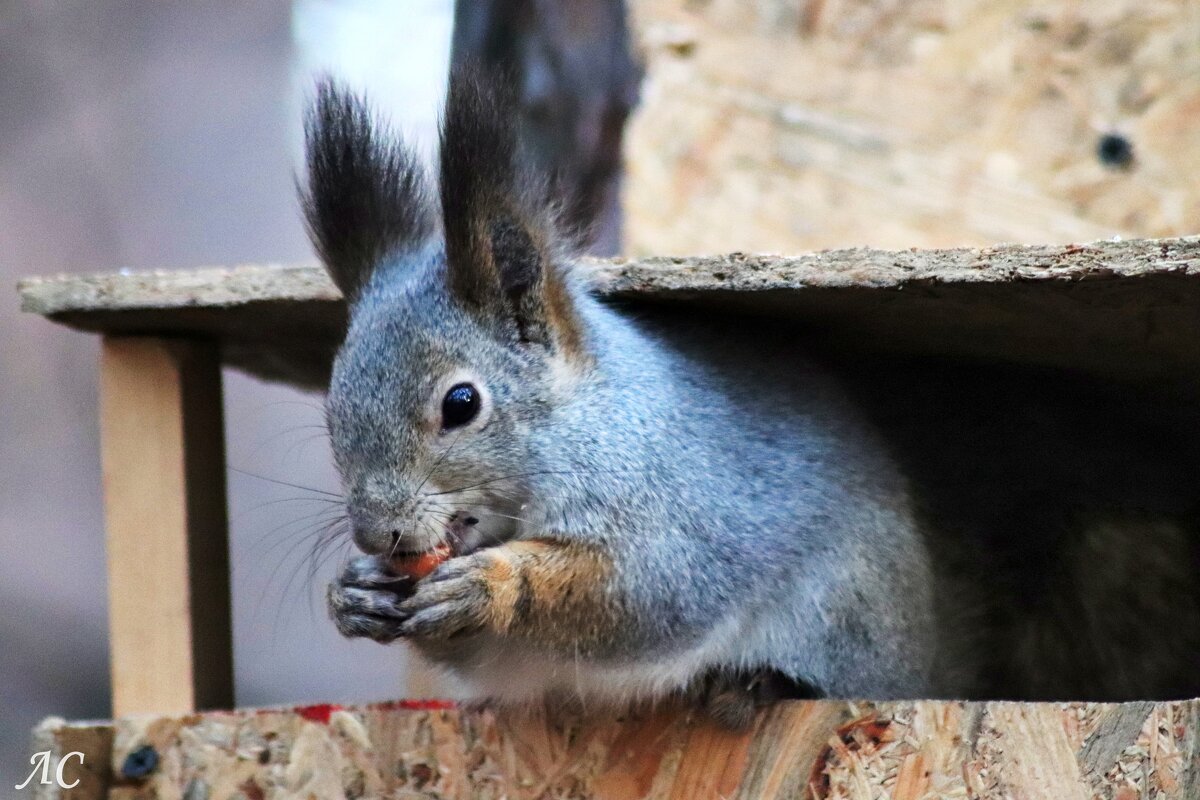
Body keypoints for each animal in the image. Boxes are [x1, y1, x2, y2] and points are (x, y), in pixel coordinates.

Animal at [300, 65, 1200, 724]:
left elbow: (639, 592)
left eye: (461, 405)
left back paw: (754, 685)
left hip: (846, 612)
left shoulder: (687, 505)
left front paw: (493, 584)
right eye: (332, 406)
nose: (379, 533)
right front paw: (353, 595)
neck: (592, 422)